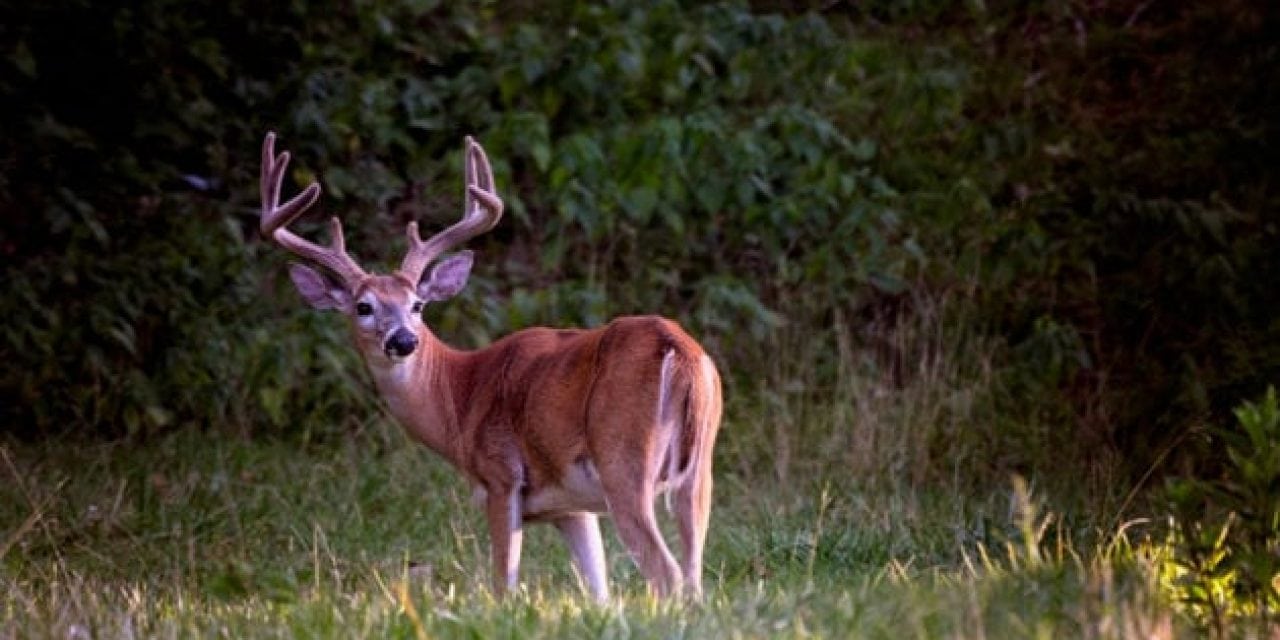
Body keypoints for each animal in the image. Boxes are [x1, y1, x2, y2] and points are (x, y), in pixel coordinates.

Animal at [257, 132, 721, 596]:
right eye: (363, 307)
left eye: (417, 304)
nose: (404, 340)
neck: (459, 396)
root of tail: (678, 349)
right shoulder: (571, 508)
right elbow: (599, 592)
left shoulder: (500, 477)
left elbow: (504, 587)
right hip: (699, 469)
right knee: (694, 575)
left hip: (623, 460)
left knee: (668, 573)